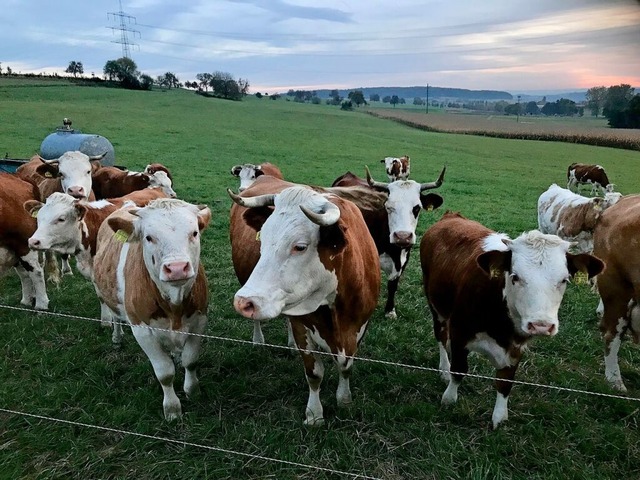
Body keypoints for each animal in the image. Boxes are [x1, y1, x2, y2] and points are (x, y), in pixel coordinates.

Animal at [93, 199, 212, 420]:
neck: (174, 305)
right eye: (148, 237)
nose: (177, 268)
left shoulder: (199, 320)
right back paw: (117, 337)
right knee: (115, 317)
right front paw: (172, 408)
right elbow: (164, 372)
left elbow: (190, 361)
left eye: (194, 233)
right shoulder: (141, 330)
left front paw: (193, 391)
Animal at [229, 183, 380, 424]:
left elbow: (346, 367)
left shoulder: (360, 325)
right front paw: (314, 415)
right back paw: (258, 340)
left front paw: (344, 400)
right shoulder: (303, 326)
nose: (244, 301)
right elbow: (314, 373)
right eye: (262, 239)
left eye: (299, 246)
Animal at [422, 212, 604, 430]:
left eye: (564, 280)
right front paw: (449, 399)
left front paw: (500, 416)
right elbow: (459, 370)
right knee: (441, 336)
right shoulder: (460, 333)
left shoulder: (517, 347)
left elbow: (505, 382)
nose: (541, 325)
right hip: (436, 306)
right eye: (515, 277)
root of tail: (452, 215)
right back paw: (443, 368)